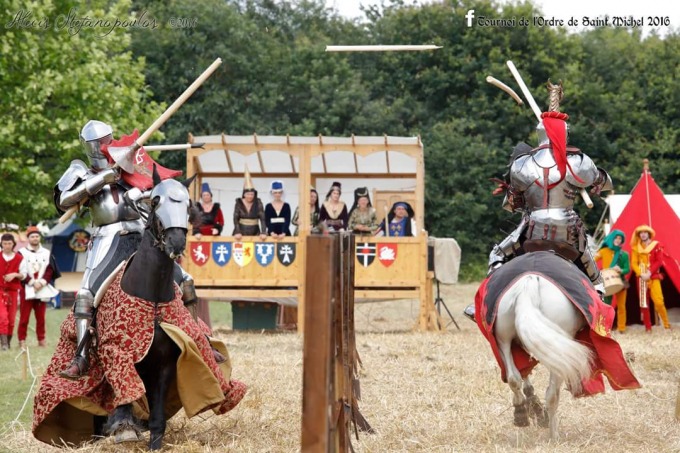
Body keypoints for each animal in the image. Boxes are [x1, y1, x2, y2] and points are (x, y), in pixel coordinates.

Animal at [105, 168, 197, 450]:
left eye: (188, 205)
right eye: (156, 201)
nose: (176, 242)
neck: (152, 295)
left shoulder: (164, 366)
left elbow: (157, 417)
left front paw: (154, 440)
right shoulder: (120, 356)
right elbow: (123, 392)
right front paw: (124, 427)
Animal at [492, 270, 592, 440]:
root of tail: (529, 283)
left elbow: (523, 374)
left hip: (502, 338)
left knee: (513, 378)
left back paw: (521, 412)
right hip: (558, 351)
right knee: (552, 394)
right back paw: (554, 434)